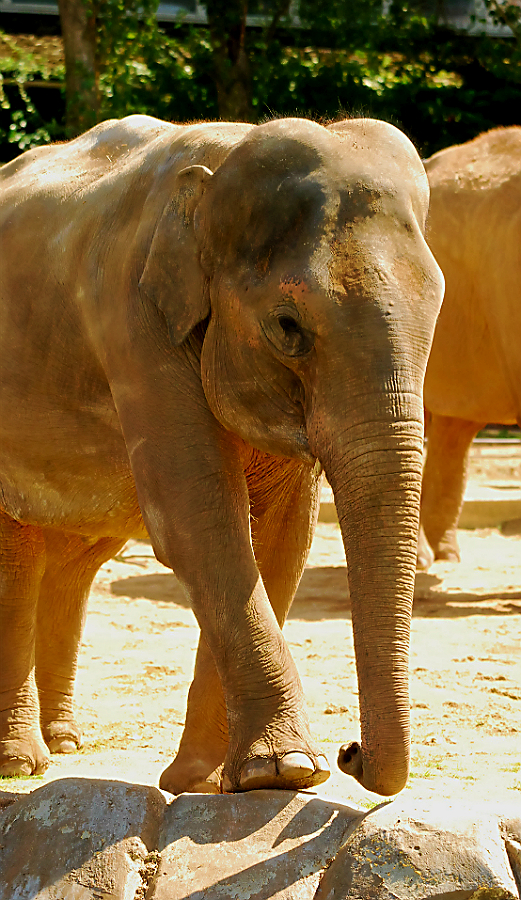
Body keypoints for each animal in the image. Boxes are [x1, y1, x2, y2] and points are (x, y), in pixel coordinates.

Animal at [0, 114, 444, 797]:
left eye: (439, 306)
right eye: (288, 327)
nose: (352, 752)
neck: (220, 162)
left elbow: (282, 538)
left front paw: (212, 782)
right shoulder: (133, 323)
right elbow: (201, 522)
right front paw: (286, 771)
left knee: (73, 559)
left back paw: (64, 744)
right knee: (20, 557)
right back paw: (22, 764)